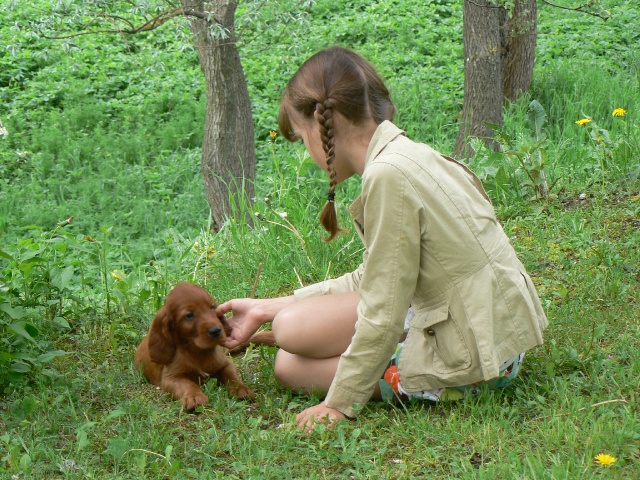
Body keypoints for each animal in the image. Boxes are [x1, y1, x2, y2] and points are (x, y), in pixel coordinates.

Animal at [135, 282, 254, 410]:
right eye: (189, 315)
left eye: (212, 308)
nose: (216, 330)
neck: (198, 351)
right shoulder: (170, 377)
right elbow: (187, 384)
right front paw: (193, 396)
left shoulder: (225, 363)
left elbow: (231, 375)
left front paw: (240, 389)